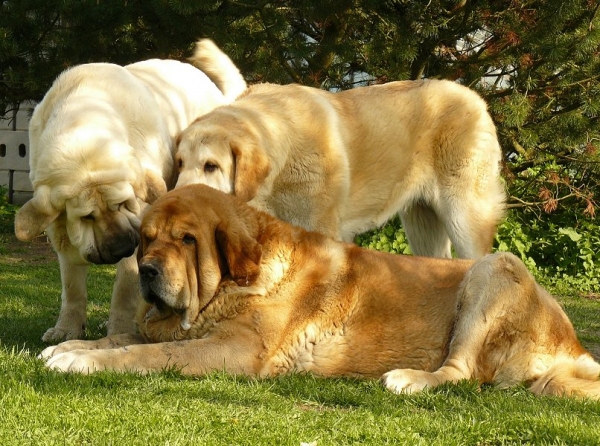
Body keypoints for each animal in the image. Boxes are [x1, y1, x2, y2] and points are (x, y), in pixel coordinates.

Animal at [15, 41, 247, 342]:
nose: (122, 246)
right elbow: (72, 288)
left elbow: (125, 290)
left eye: (124, 204)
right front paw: (66, 329)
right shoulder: (62, 235)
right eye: (87, 217)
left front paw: (120, 330)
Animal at [41, 185, 600, 400]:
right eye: (147, 239)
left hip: (495, 268)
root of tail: (575, 347)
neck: (234, 283)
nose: (148, 270)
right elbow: (124, 340)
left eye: (186, 240)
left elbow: (144, 355)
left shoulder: (233, 351)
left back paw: (409, 379)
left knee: (459, 372)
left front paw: (82, 360)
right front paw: (71, 347)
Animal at [175, 75, 506, 260]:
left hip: (464, 217)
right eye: (179, 163)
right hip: (423, 225)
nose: (177, 200)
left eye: (211, 166)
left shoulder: (319, 231)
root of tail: (476, 99)